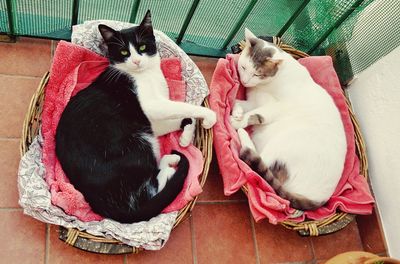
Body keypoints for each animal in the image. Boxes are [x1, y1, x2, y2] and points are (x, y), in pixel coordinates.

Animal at [55, 10, 216, 223]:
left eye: (142, 47)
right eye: (124, 52)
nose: (137, 61)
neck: (146, 74)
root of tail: (94, 198)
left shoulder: (151, 122)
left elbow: (182, 116)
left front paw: (185, 136)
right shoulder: (152, 106)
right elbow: (185, 107)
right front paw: (209, 117)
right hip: (138, 144)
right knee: (147, 193)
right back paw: (171, 164)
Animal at [231, 28, 346, 210]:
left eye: (257, 73)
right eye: (243, 67)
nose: (244, 81)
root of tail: (319, 199)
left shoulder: (276, 107)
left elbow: (256, 115)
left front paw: (236, 121)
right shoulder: (255, 101)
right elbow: (237, 102)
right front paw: (237, 112)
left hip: (286, 141)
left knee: (255, 160)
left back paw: (243, 135)